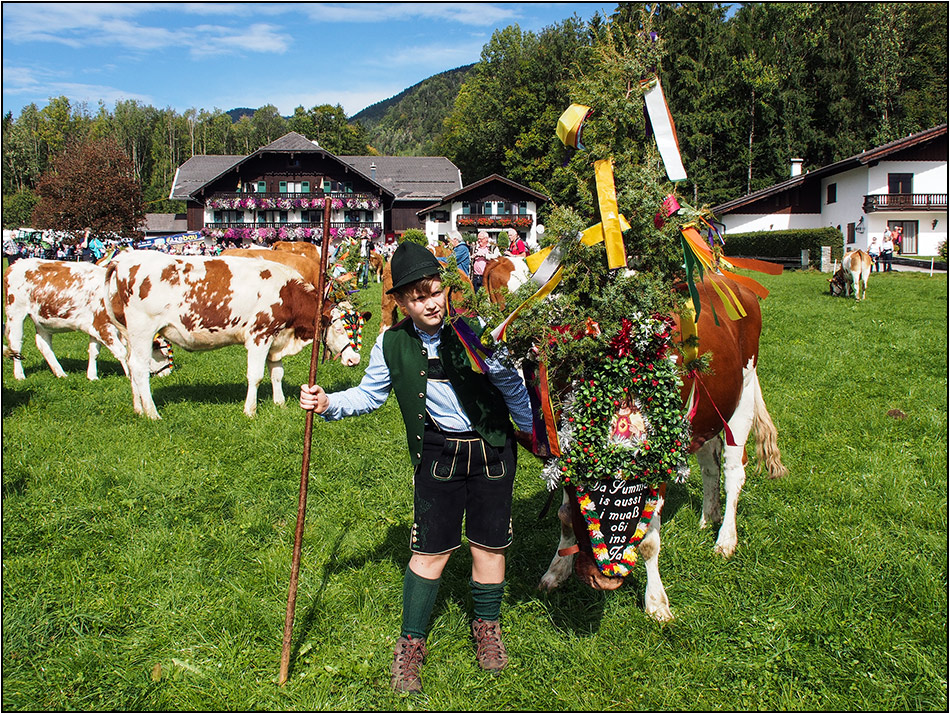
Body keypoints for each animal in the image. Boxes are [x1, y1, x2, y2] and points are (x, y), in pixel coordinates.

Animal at [4, 258, 173, 382]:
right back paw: (19, 375)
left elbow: (94, 352)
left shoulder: (95, 327)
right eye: (163, 353)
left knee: (43, 345)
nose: (167, 374)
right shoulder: (104, 327)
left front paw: (92, 376)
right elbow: (122, 352)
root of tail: (15, 264)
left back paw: (60, 373)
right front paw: (130, 376)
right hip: (15, 313)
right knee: (16, 344)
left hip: (43, 320)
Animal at [540, 276, 792, 620]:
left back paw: (726, 539)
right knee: (709, 464)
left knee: (733, 471)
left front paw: (656, 602)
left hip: (744, 393)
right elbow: (564, 516)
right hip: (705, 411)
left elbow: (648, 542)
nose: (601, 581)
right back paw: (708, 516)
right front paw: (556, 570)